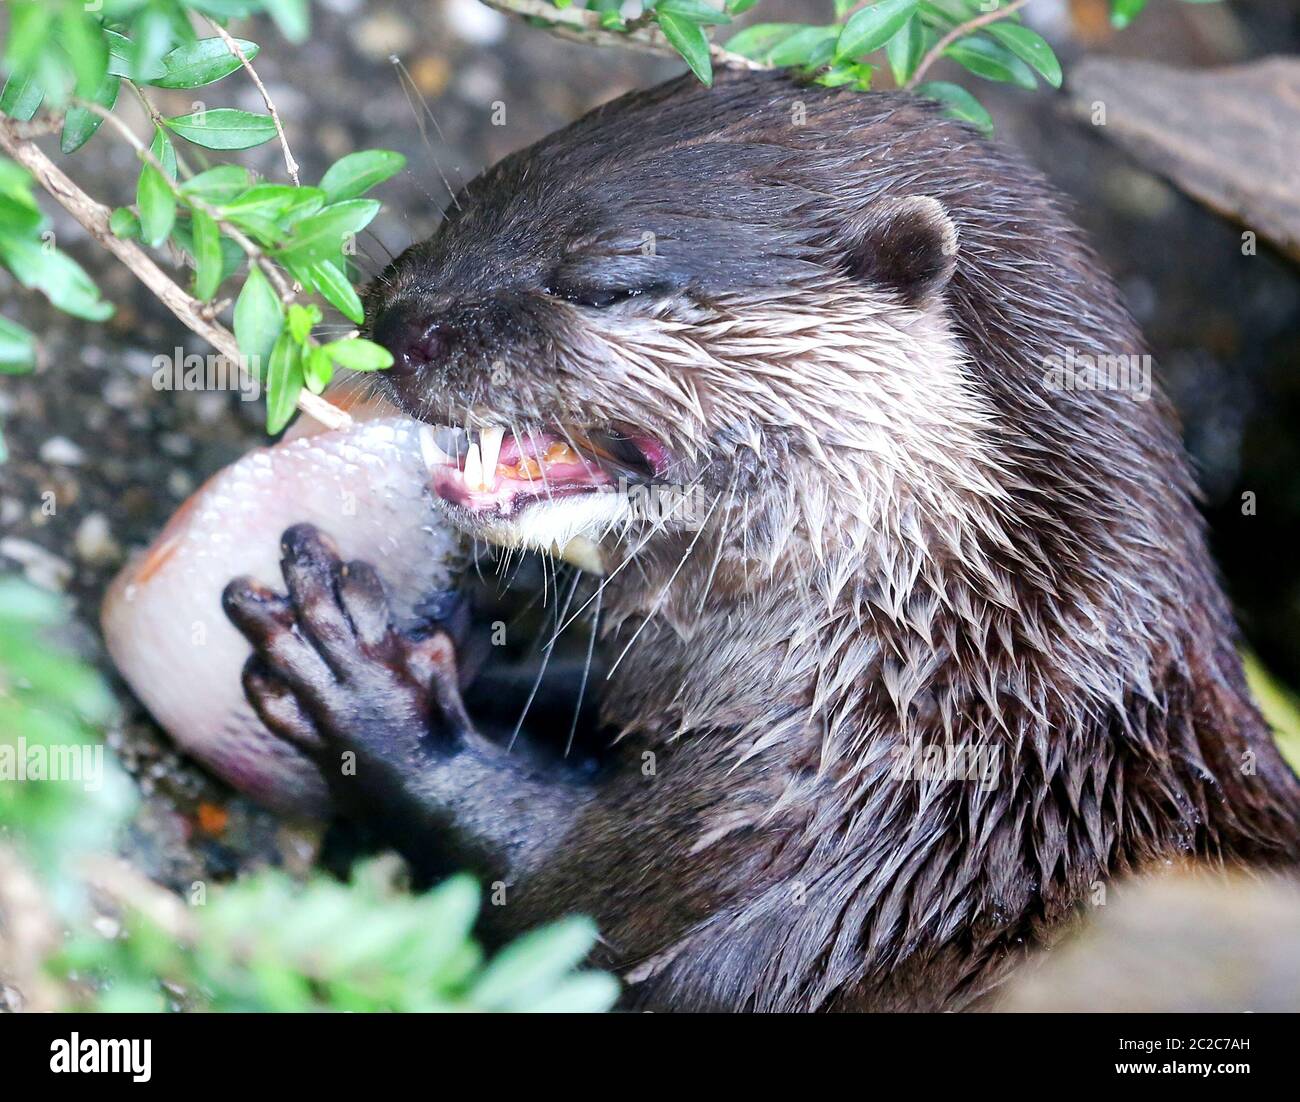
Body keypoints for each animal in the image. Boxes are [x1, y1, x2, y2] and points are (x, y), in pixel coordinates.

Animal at [124, 71, 1300, 1013]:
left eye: (600, 285)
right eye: (460, 205)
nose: (405, 317)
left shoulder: (837, 864)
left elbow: (568, 914)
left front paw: (366, 688)